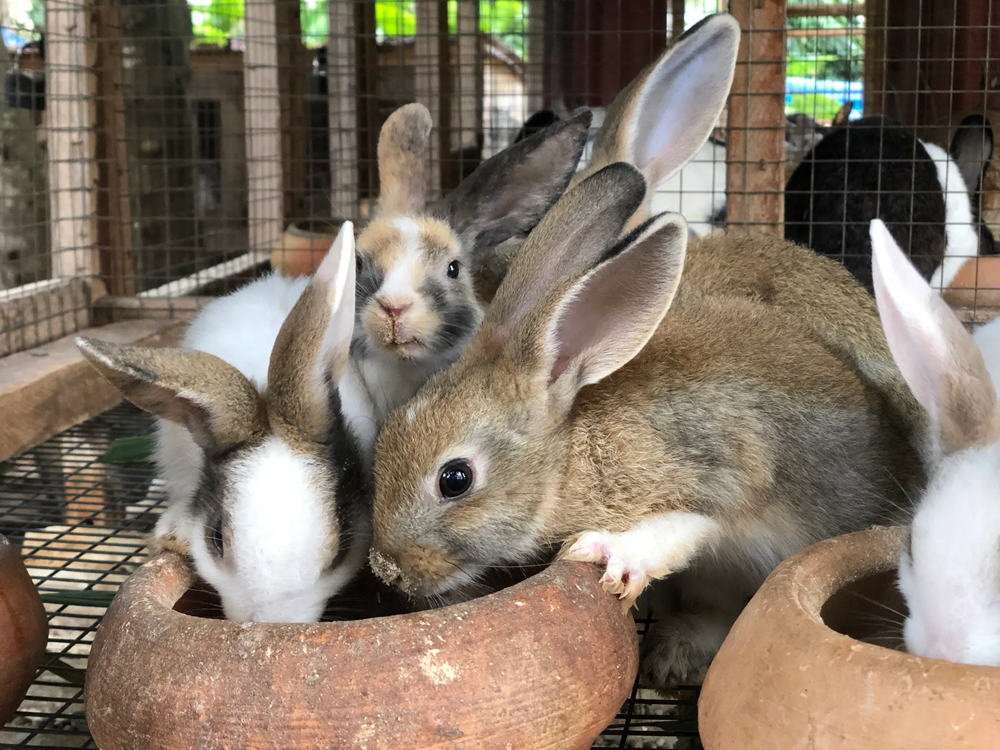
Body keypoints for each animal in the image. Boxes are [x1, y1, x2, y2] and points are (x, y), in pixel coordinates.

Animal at [367, 157, 925, 688]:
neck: (569, 458)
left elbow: (678, 527)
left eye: (455, 478)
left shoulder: (715, 473)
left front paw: (607, 551)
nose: (388, 568)